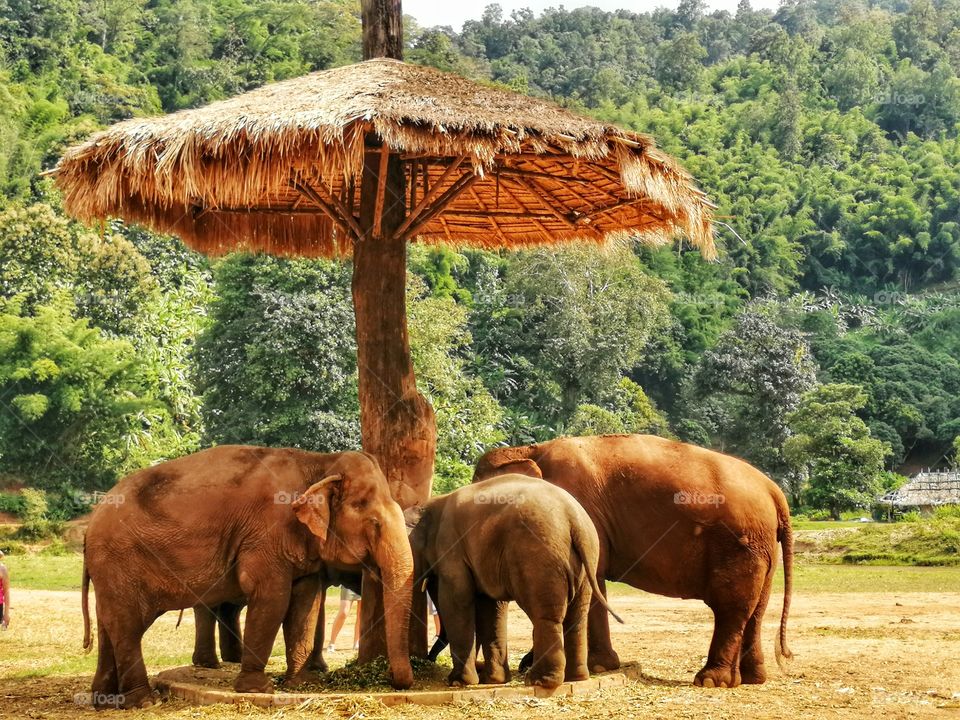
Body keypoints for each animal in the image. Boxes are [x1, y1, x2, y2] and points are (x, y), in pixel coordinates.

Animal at [407, 474, 622, 690]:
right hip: (587, 560)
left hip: (538, 559)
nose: (429, 658)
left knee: (544, 616)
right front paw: (494, 681)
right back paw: (575, 678)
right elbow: (491, 607)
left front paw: (458, 682)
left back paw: (540, 681)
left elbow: (456, 601)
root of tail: (574, 519)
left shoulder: (451, 549)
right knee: (576, 616)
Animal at [473, 434, 794, 689]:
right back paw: (751, 679)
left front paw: (598, 666)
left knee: (731, 607)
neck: (530, 449)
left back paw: (711, 681)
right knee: (756, 609)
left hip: (739, 544)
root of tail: (775, 492)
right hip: (762, 547)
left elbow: (590, 576)